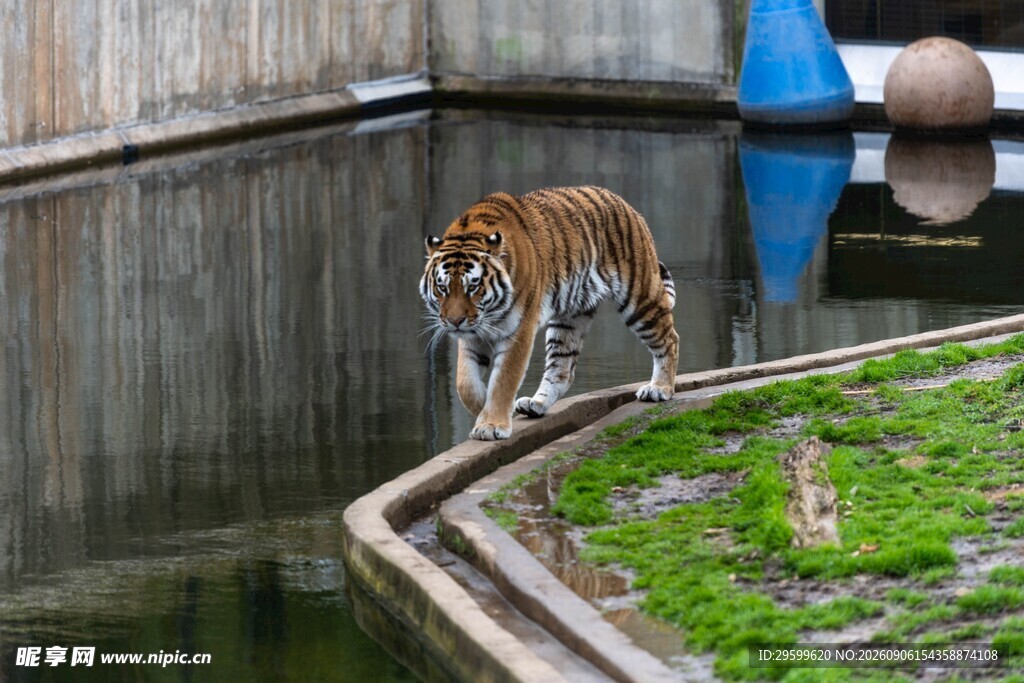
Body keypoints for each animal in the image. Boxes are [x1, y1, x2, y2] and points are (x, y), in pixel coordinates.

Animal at [420, 186, 679, 441]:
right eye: (442, 287)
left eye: (472, 287)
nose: (455, 322)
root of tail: (624, 203)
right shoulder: (473, 335)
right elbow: (465, 383)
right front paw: (486, 407)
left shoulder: (519, 330)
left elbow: (504, 380)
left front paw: (491, 424)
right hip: (568, 321)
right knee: (561, 370)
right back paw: (535, 404)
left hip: (639, 298)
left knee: (669, 339)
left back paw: (659, 388)